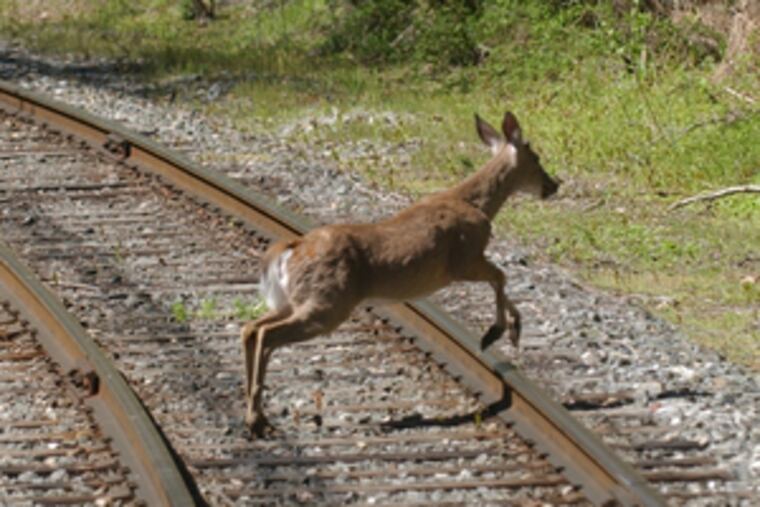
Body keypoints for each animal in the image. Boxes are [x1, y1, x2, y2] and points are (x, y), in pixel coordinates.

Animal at [240, 111, 559, 436]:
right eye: (536, 157)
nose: (553, 185)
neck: (476, 204)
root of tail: (292, 248)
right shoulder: (463, 259)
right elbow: (500, 277)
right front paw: (495, 332)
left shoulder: (468, 261)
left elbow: (501, 280)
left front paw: (514, 330)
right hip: (328, 301)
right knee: (266, 333)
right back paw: (256, 419)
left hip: (295, 299)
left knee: (250, 328)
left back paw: (256, 416)